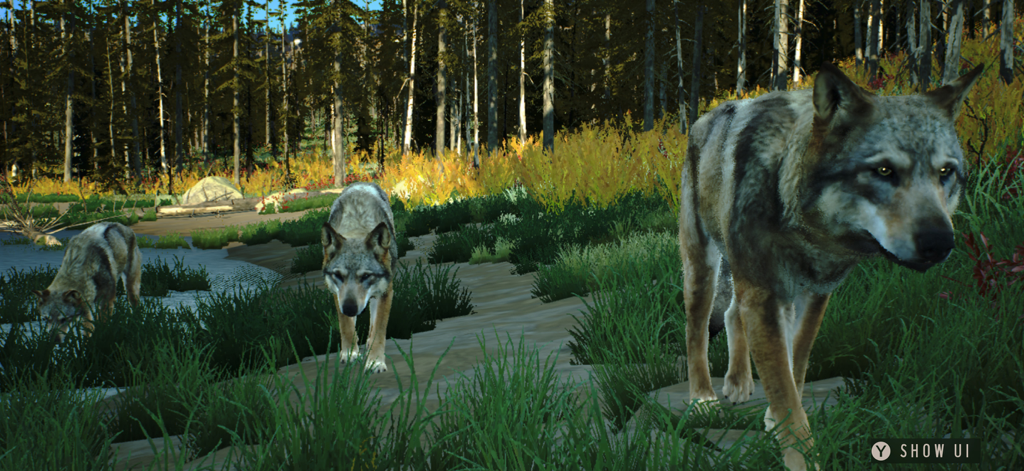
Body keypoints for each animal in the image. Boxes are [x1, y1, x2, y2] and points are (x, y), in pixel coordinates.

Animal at [321, 181, 398, 374]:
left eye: (366, 276)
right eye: (338, 275)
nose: (350, 308)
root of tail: (362, 183)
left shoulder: (385, 291)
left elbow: (378, 329)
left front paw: (375, 362)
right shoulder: (337, 294)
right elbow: (346, 327)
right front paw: (350, 354)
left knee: (373, 323)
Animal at [679, 63, 983, 470]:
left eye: (945, 172)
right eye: (883, 170)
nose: (941, 242)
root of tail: (705, 117)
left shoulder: (814, 295)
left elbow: (795, 369)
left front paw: (772, 419)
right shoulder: (764, 295)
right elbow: (786, 392)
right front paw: (800, 453)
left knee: (730, 314)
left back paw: (739, 383)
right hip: (703, 268)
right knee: (696, 328)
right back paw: (703, 400)